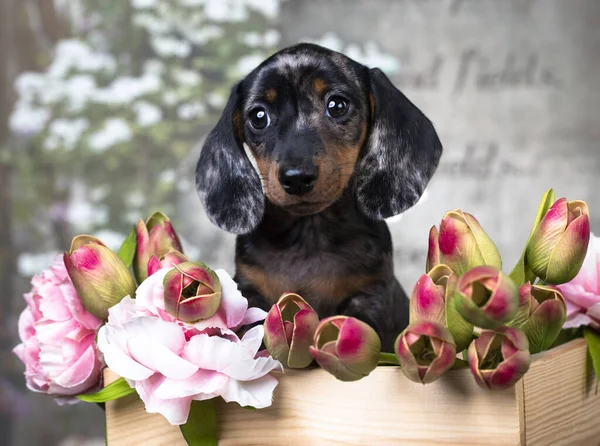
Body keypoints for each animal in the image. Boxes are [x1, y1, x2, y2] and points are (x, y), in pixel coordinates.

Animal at [196, 44, 440, 352]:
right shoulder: (250, 291)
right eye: (259, 116)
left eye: (337, 105)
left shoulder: (371, 295)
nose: (297, 177)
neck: (309, 231)